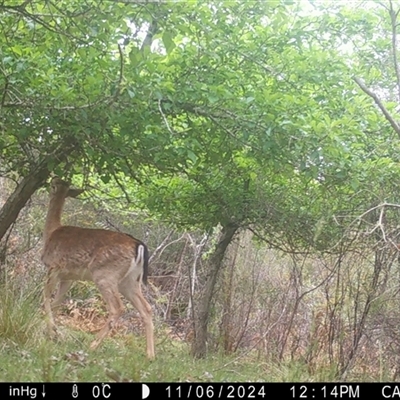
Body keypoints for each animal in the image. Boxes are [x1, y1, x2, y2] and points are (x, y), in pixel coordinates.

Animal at [41, 177, 155, 358]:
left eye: (54, 184)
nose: (51, 179)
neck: (51, 232)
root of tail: (139, 245)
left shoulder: (54, 267)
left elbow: (46, 298)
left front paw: (51, 331)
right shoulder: (68, 277)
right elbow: (56, 303)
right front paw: (52, 332)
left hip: (105, 275)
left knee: (117, 307)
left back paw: (93, 345)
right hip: (130, 280)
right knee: (147, 308)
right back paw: (150, 355)